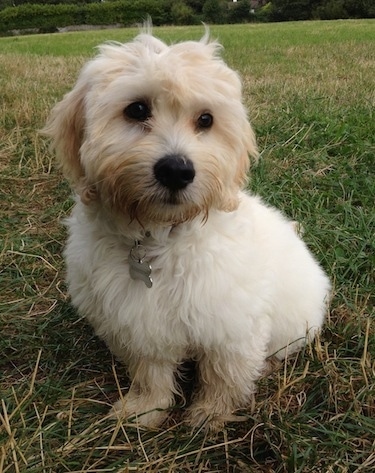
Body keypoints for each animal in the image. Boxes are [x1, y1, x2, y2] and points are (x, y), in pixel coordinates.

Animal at [44, 27, 330, 430]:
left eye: (206, 120)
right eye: (137, 109)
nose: (176, 170)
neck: (158, 238)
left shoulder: (231, 324)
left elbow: (225, 374)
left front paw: (211, 414)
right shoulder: (136, 322)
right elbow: (149, 370)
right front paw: (144, 409)